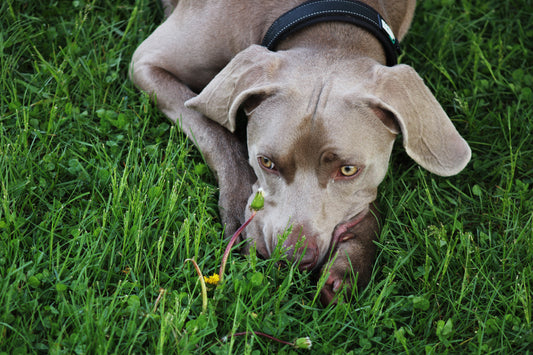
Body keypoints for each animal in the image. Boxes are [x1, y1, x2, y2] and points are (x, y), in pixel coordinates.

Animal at [130, 0, 470, 306]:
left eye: (348, 170)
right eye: (266, 162)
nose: (293, 259)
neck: (330, 26)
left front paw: (350, 262)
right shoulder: (145, 62)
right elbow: (216, 132)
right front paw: (238, 213)